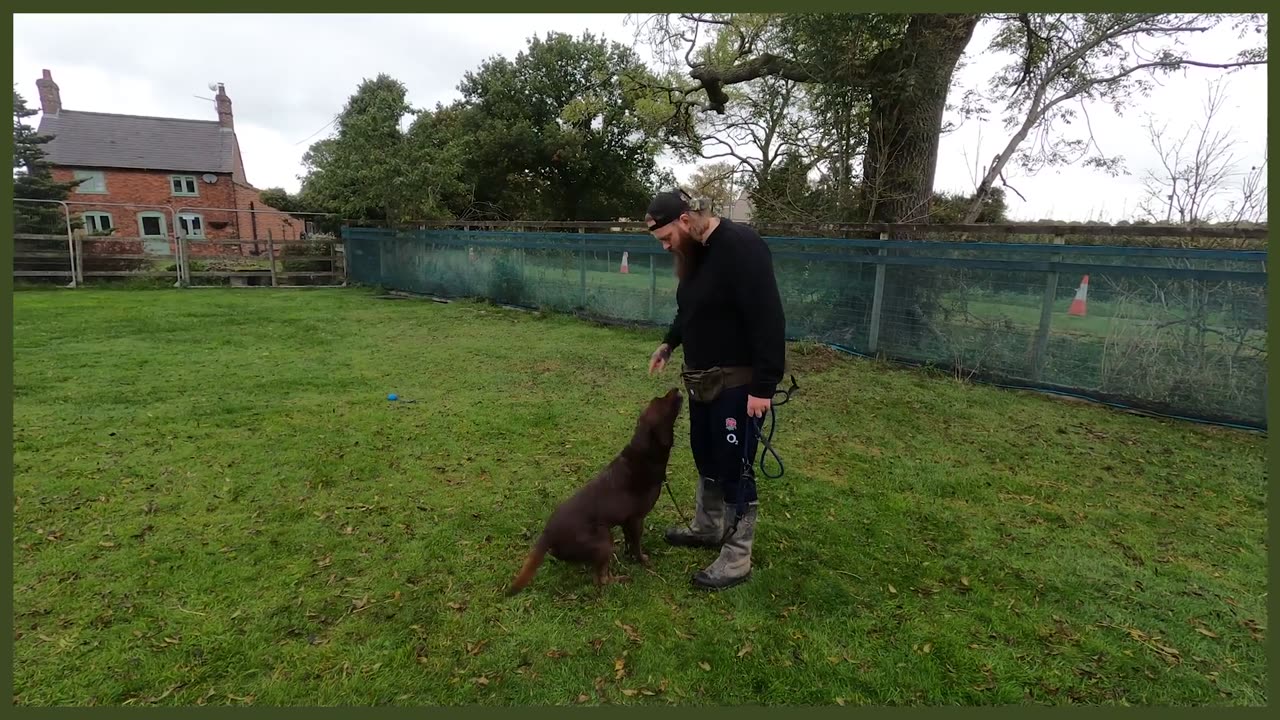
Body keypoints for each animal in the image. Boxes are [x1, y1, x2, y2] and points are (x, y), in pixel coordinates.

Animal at [506, 389, 686, 591]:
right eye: (661, 401)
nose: (676, 388)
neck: (645, 453)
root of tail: (547, 535)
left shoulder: (626, 522)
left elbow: (629, 544)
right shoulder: (636, 520)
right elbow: (637, 546)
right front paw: (643, 560)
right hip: (603, 540)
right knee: (601, 580)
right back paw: (621, 579)